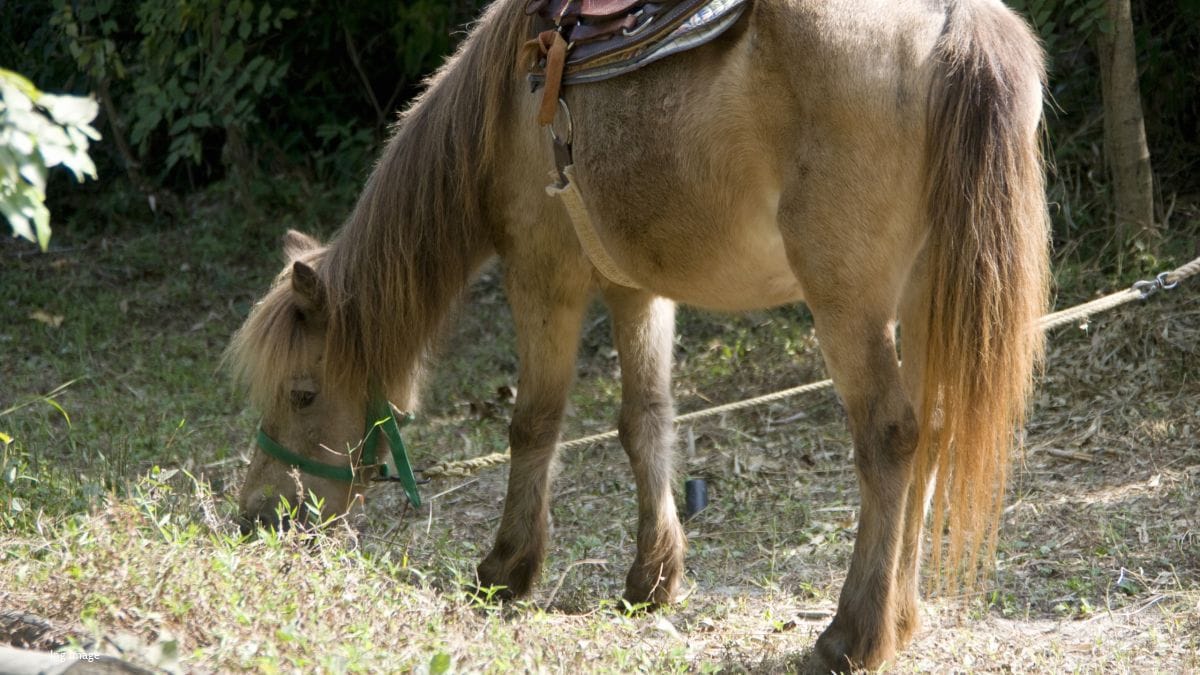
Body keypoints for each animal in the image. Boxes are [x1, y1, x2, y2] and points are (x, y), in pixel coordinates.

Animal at [226, 0, 1048, 668]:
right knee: (934, 435)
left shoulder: (543, 275)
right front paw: (652, 579)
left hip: (850, 305)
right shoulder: (633, 287)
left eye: (303, 393)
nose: (255, 518)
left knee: (889, 438)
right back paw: (900, 621)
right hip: (926, 299)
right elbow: (644, 419)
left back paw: (852, 635)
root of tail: (954, 23)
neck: (507, 104)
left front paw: (506, 569)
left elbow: (534, 422)